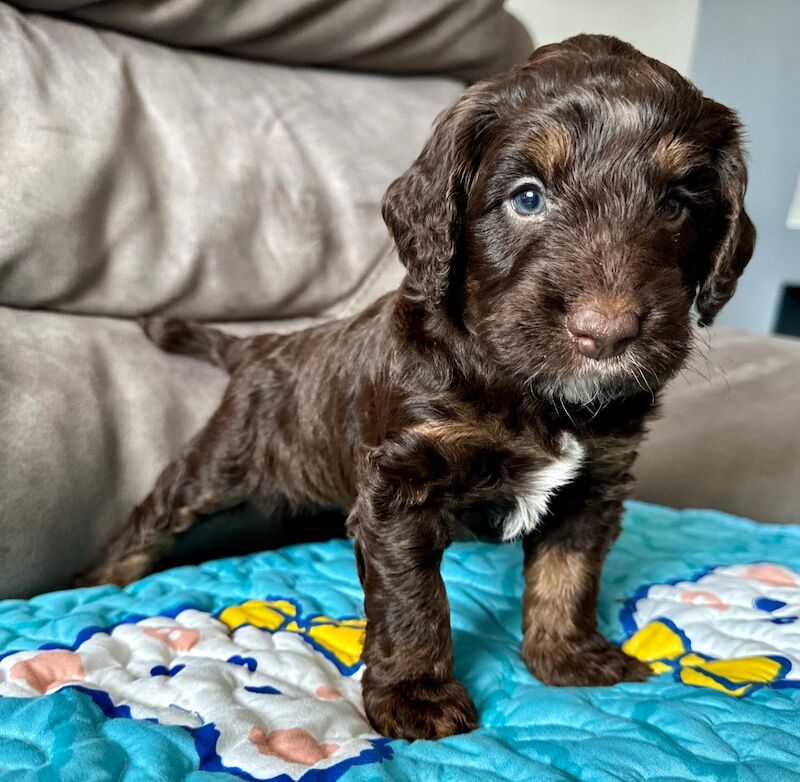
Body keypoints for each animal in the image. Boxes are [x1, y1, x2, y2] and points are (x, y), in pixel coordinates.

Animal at [79, 36, 756, 744]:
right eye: (527, 197)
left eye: (676, 205)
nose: (606, 332)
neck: (525, 389)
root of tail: (260, 347)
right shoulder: (402, 486)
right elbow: (414, 601)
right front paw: (417, 696)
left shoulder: (593, 482)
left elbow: (568, 574)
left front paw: (568, 657)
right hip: (216, 465)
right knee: (152, 519)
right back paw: (97, 581)